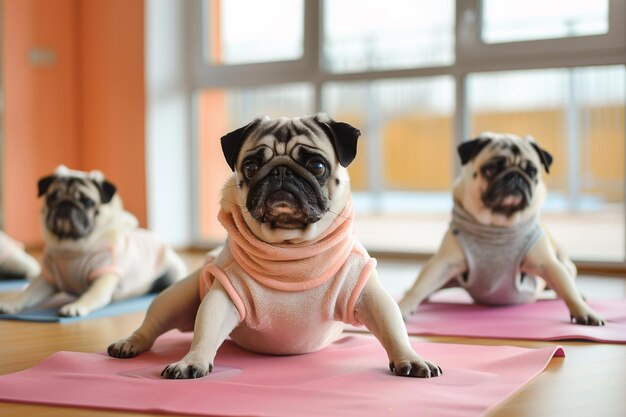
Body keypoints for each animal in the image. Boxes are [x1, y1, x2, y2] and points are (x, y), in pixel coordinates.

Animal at [0, 166, 185, 316]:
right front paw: (11, 303)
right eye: (52, 198)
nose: (66, 203)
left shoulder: (103, 277)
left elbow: (89, 295)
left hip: (174, 271)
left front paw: (75, 306)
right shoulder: (47, 279)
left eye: (87, 201)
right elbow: (28, 293)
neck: (70, 247)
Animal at [106, 114, 438, 376]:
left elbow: (393, 328)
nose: (281, 171)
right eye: (251, 167)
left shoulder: (367, 294)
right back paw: (129, 343)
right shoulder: (224, 296)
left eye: (317, 165)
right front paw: (192, 361)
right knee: (152, 324)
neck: (291, 246)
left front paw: (410, 358)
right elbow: (206, 330)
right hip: (175, 297)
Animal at [394, 132, 604, 324]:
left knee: (566, 283)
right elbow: (419, 288)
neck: (498, 226)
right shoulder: (443, 264)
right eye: (492, 168)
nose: (515, 176)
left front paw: (585, 312)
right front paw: (403, 306)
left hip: (565, 264)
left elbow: (568, 290)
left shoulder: (549, 265)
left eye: (532, 171)